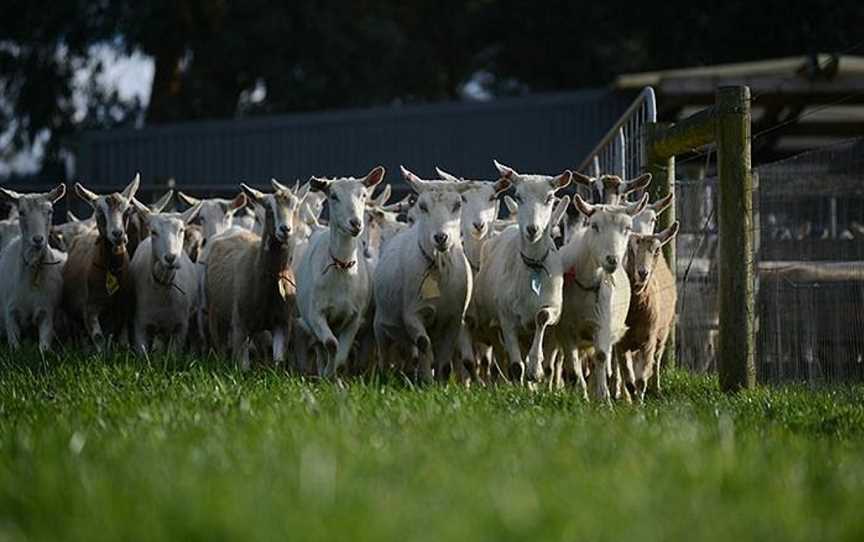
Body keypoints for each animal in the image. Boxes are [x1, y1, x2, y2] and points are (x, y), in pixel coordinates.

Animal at [0, 185, 67, 350]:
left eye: (50, 211)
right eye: (22, 212)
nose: (37, 239)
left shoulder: (47, 312)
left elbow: (44, 348)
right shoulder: (9, 313)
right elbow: (15, 348)